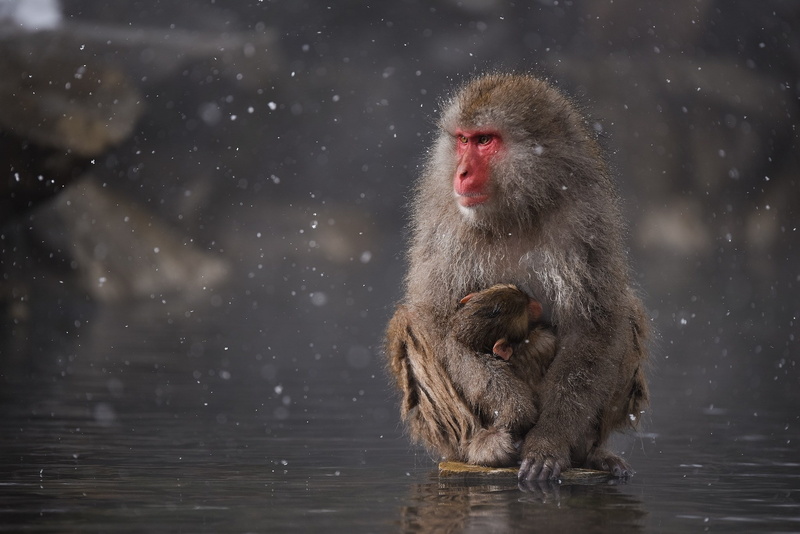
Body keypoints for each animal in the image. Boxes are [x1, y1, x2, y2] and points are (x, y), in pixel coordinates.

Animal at [386, 73, 649, 483]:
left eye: (485, 140)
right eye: (463, 140)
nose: (461, 172)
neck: (516, 209)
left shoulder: (587, 218)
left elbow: (594, 325)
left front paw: (548, 441)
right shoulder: (444, 220)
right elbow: (437, 320)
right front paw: (515, 409)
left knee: (627, 313)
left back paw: (589, 453)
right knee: (410, 322)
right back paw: (482, 447)